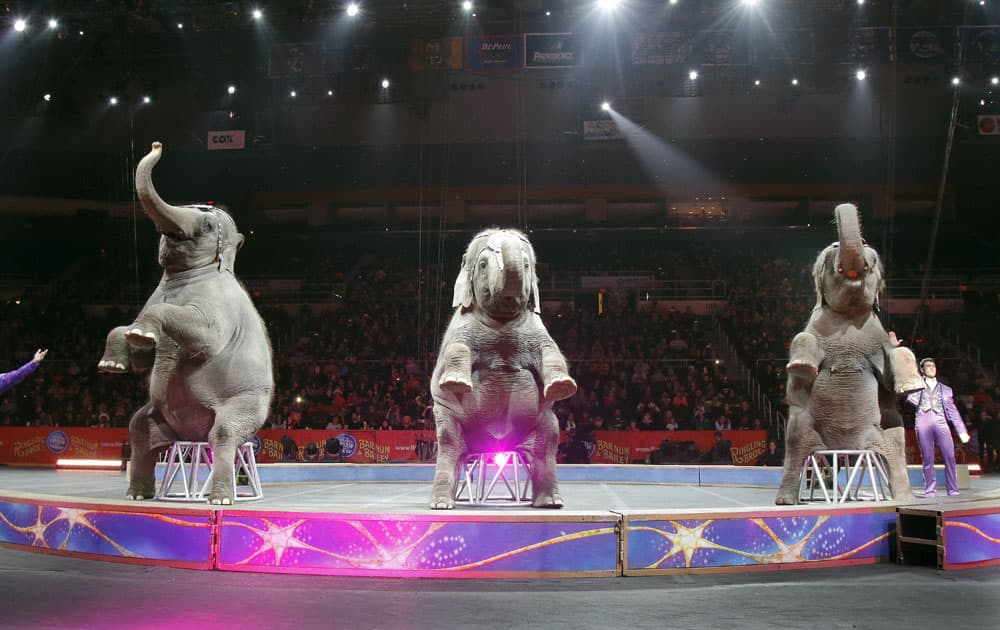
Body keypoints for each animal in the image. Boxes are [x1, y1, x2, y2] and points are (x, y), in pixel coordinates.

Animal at [98, 143, 274, 508]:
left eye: (207, 225)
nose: (156, 145)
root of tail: (190, 436)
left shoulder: (219, 310)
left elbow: (203, 337)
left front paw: (140, 333)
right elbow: (137, 351)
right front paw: (116, 360)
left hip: (247, 403)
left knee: (225, 434)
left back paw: (219, 500)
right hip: (156, 416)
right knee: (139, 431)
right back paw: (139, 494)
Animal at [430, 230, 580, 512]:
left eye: (527, 265)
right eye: (482, 264)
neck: (501, 322)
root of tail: (491, 447)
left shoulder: (536, 329)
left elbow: (551, 351)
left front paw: (561, 387)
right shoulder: (460, 328)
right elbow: (456, 348)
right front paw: (455, 383)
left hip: (543, 421)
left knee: (548, 442)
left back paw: (550, 503)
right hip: (448, 417)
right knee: (447, 443)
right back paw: (442, 504)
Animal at [776, 205, 924, 506]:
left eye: (871, 252)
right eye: (831, 251)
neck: (849, 314)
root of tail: (845, 450)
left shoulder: (877, 337)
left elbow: (895, 358)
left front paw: (912, 386)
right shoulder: (817, 327)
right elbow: (802, 342)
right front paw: (801, 365)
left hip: (885, 425)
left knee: (896, 442)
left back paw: (903, 496)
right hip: (804, 424)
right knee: (795, 442)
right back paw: (786, 500)